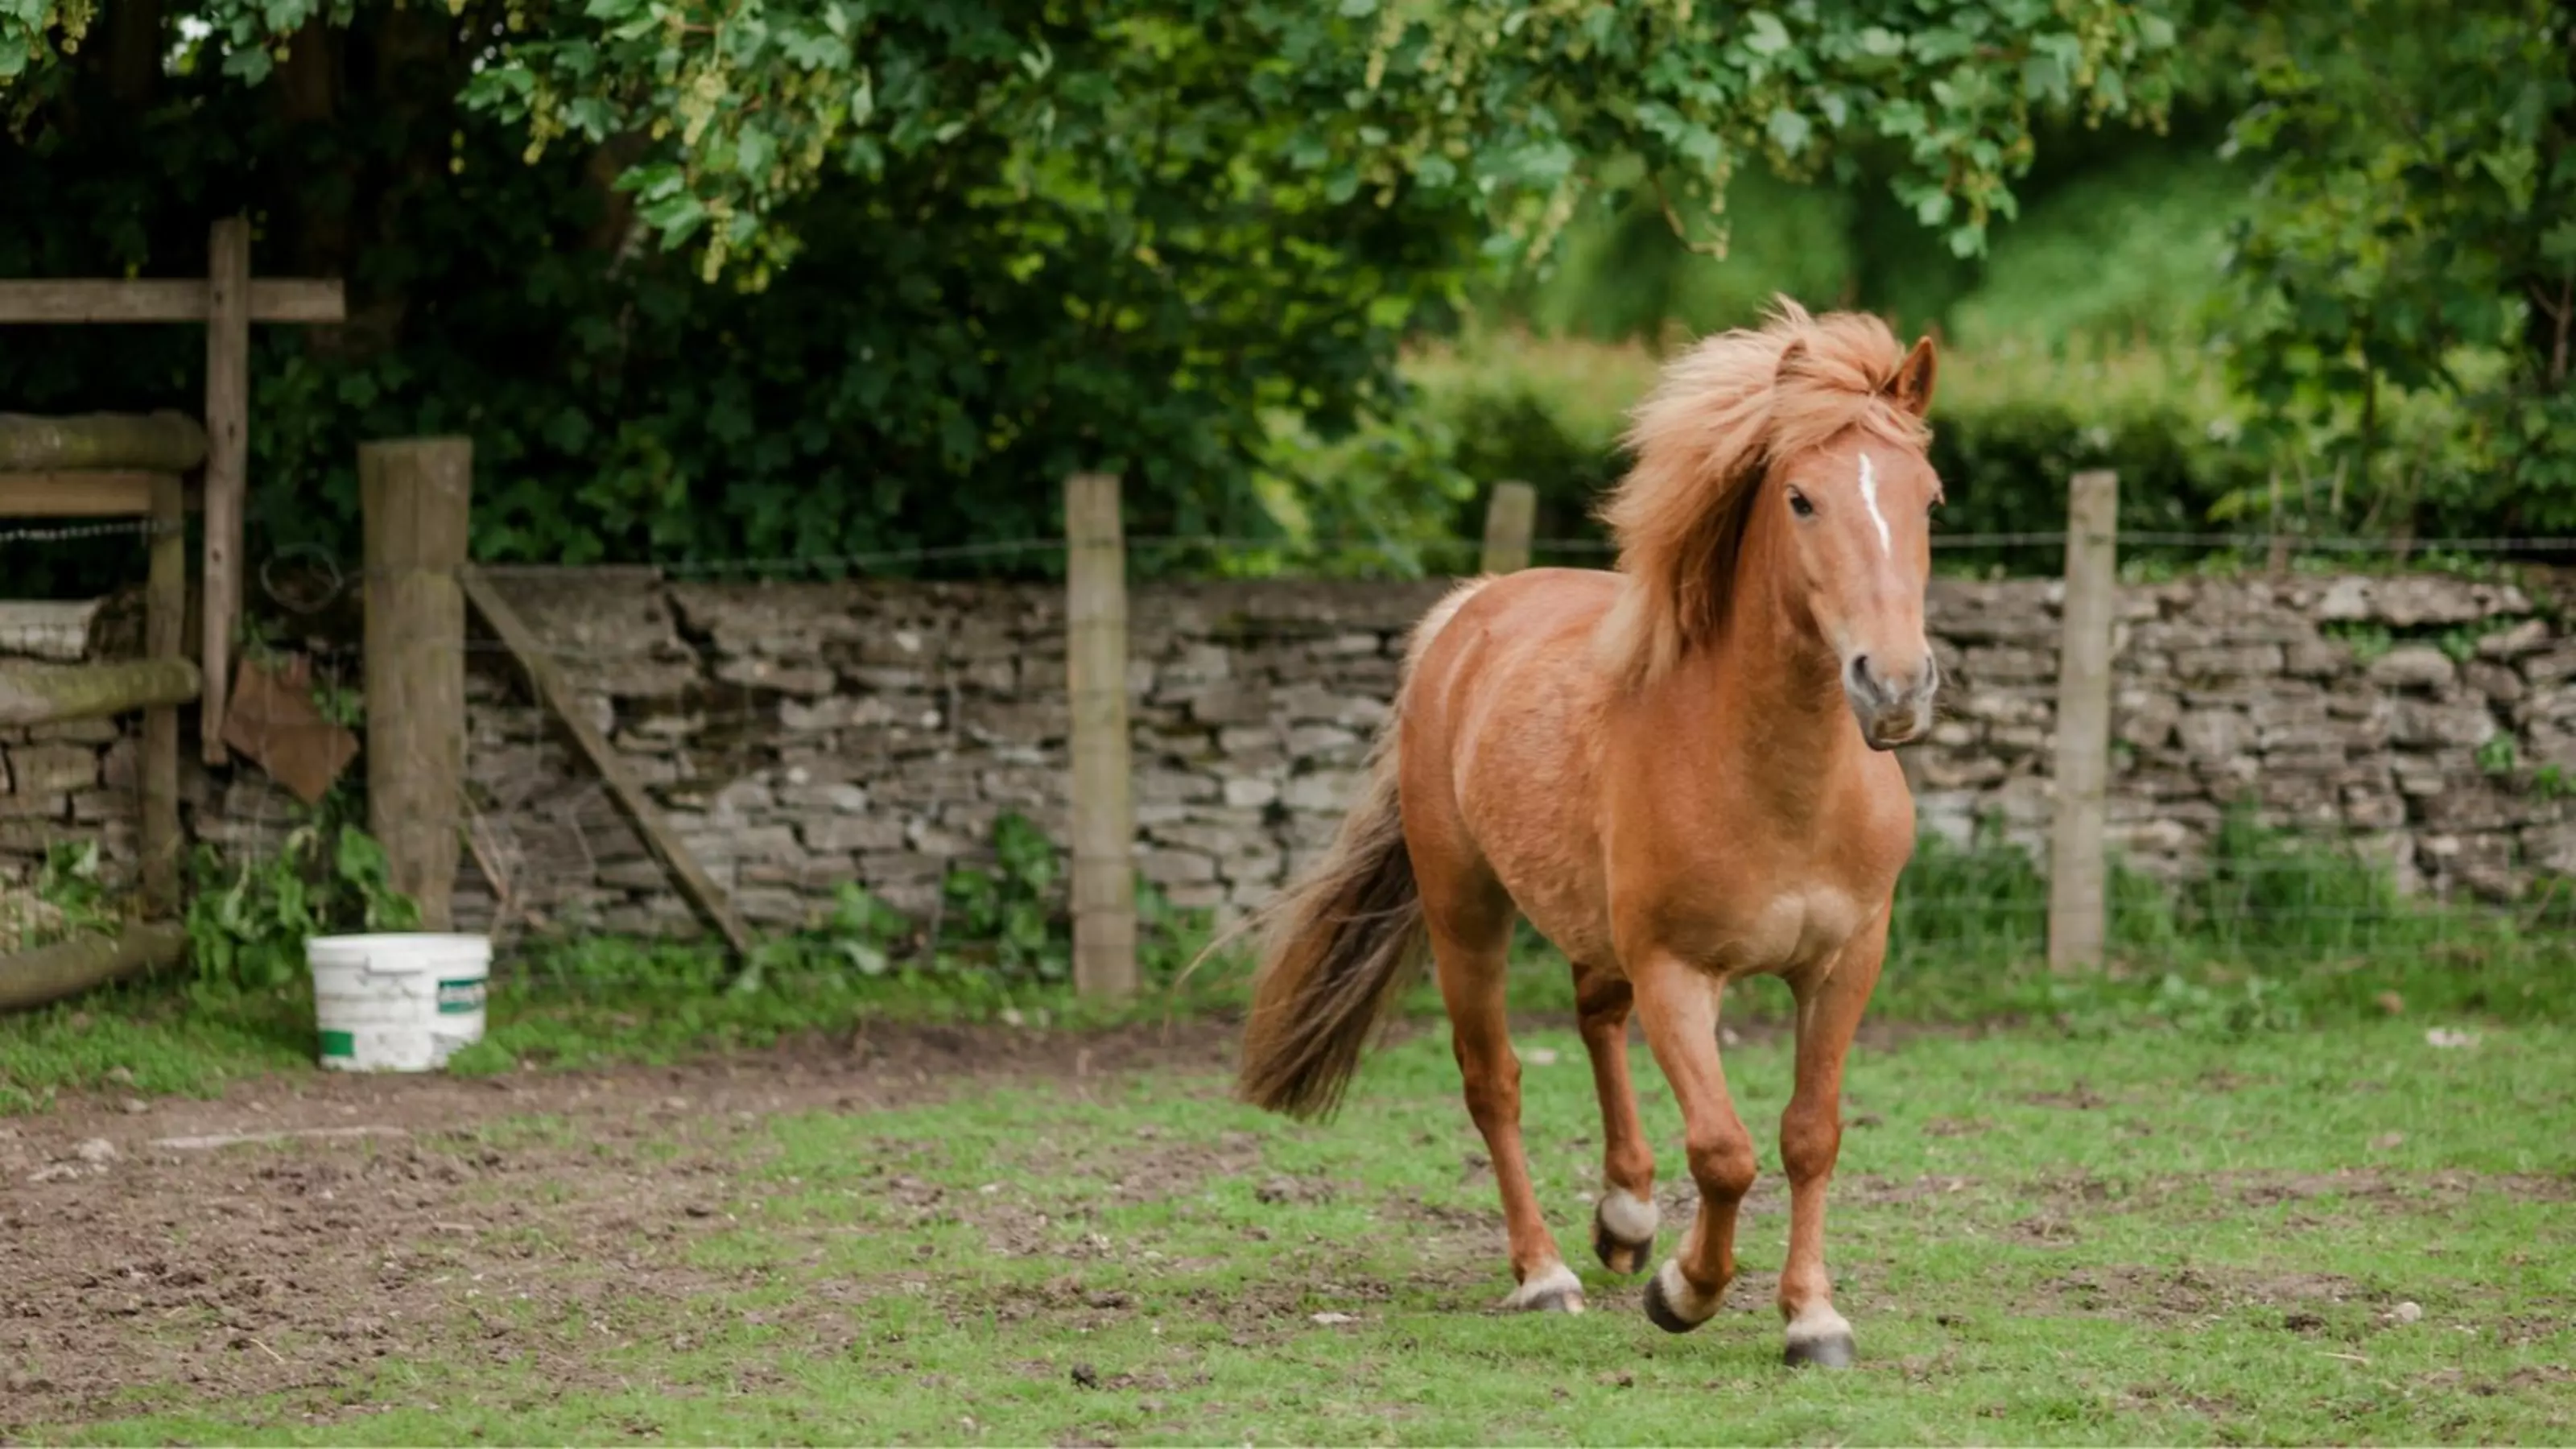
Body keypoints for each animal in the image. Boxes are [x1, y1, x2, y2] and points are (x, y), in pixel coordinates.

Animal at [1236, 296, 1937, 1361]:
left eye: (1928, 502)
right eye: (1800, 500)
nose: (1891, 686)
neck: (1776, 784)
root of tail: (1469, 610)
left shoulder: (1845, 960)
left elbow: (1808, 1135)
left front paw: (1811, 1317)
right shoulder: (1676, 972)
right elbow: (1724, 1150)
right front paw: (1684, 1291)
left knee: (1594, 1018)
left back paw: (1624, 1215)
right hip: (1466, 913)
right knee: (1493, 1081)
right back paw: (1545, 1275)